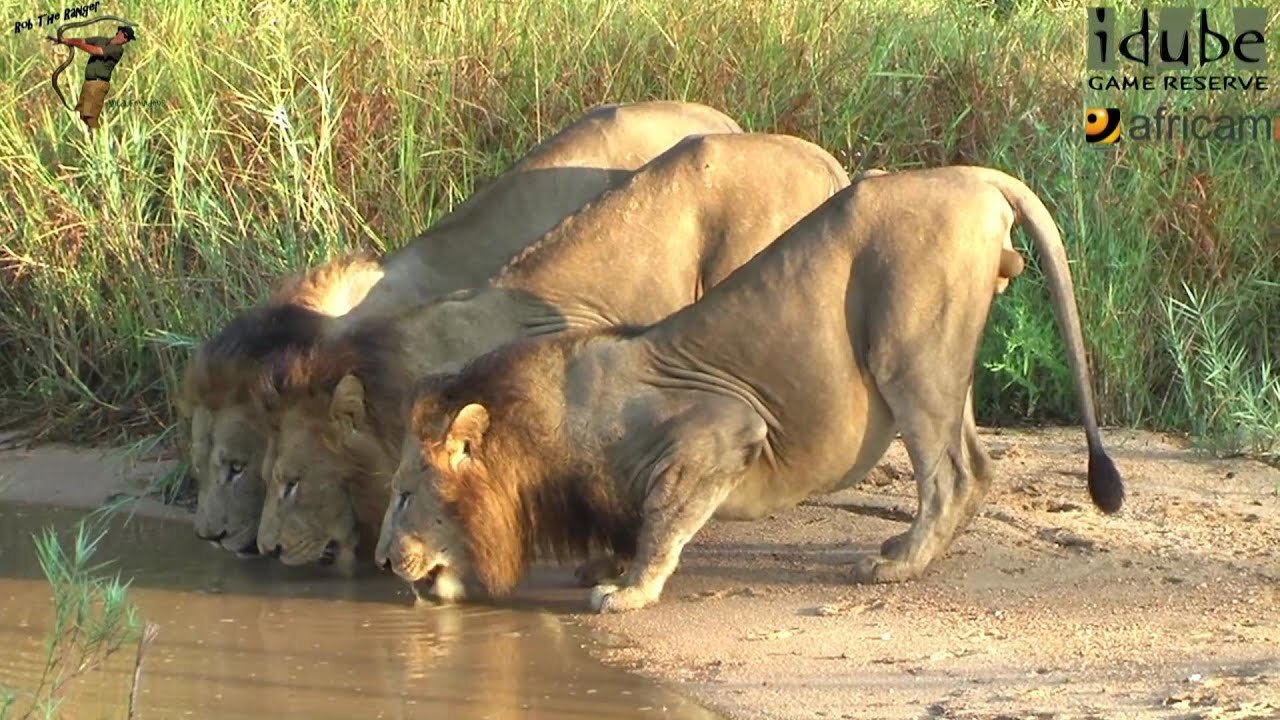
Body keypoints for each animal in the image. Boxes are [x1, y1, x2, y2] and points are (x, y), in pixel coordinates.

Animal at [373, 165, 1126, 607]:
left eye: (406, 494)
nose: (380, 561)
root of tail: (973, 175)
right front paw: (604, 567)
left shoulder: (724, 426)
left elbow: (663, 518)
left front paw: (628, 591)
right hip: (943, 353)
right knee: (977, 462)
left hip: (906, 347)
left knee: (951, 476)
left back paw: (899, 565)